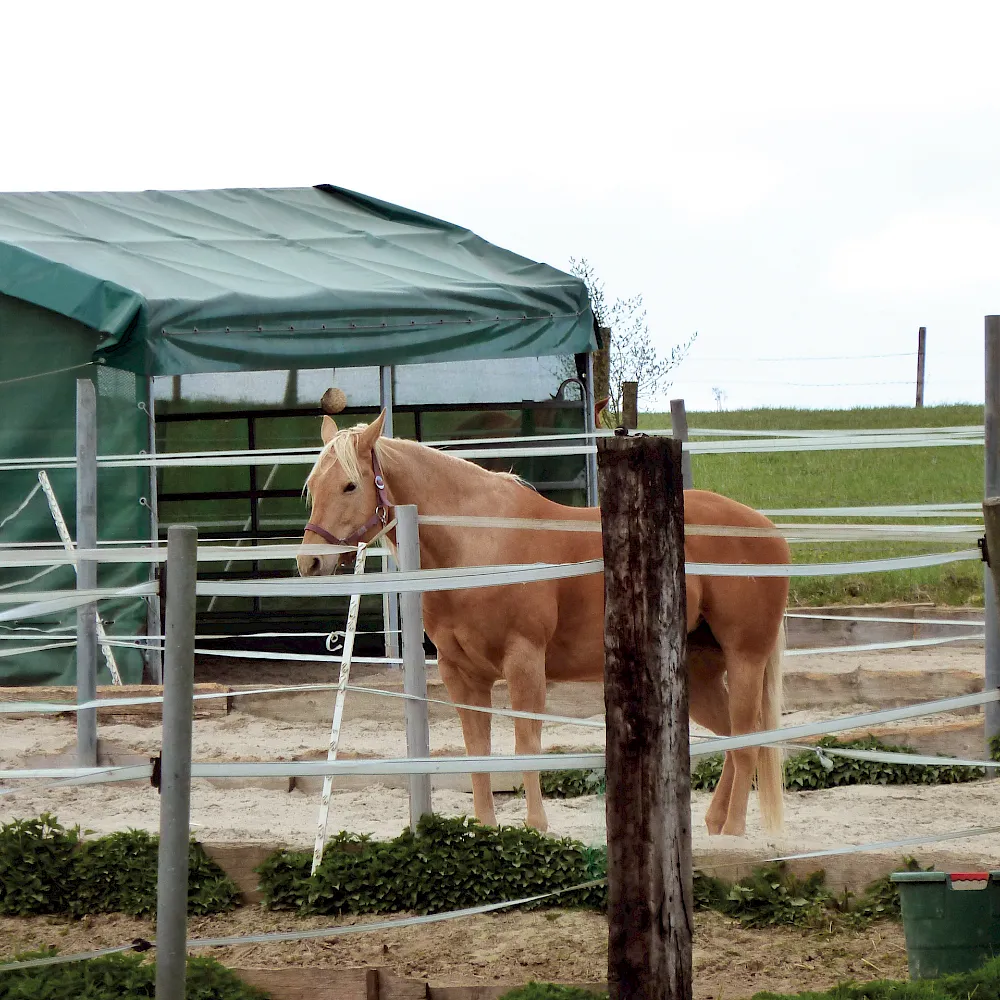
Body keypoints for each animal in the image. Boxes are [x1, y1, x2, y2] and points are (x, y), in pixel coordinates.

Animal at [297, 403, 791, 837]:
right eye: (313, 486)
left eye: (349, 486)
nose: (310, 562)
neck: (480, 542)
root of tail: (769, 531)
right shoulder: (463, 675)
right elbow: (477, 750)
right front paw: (486, 828)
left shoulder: (525, 662)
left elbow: (526, 744)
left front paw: (535, 827)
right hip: (703, 674)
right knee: (733, 739)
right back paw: (714, 823)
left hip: (746, 659)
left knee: (749, 740)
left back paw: (733, 831)